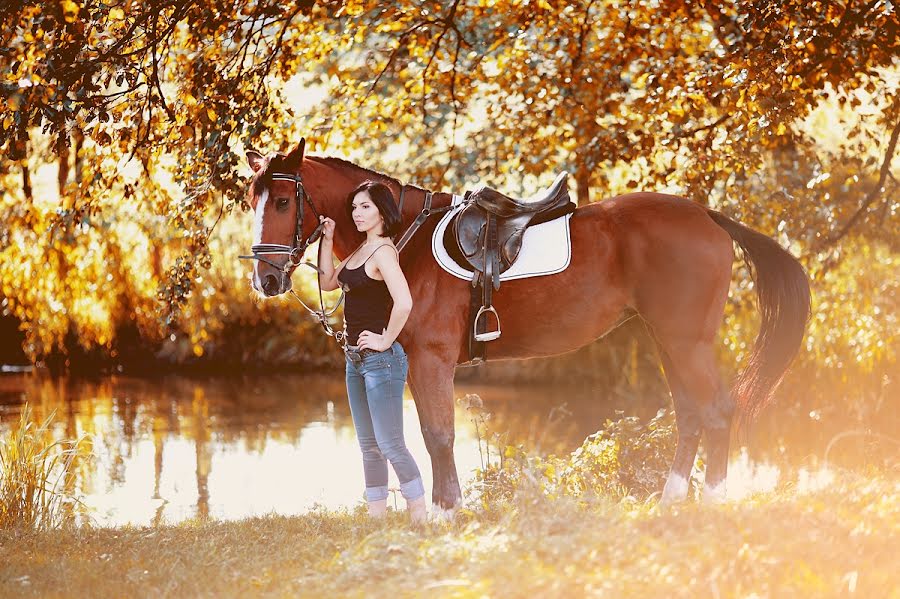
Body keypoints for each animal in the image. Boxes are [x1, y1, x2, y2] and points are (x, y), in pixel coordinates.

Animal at [243, 141, 812, 510]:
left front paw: (447, 513)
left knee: (716, 412)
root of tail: (708, 217)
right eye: (252, 200)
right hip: (669, 341)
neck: (403, 237)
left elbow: (438, 435)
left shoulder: (430, 360)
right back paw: (672, 502)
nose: (266, 279)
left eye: (283, 200)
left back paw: (712, 503)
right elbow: (430, 435)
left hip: (686, 341)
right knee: (690, 414)